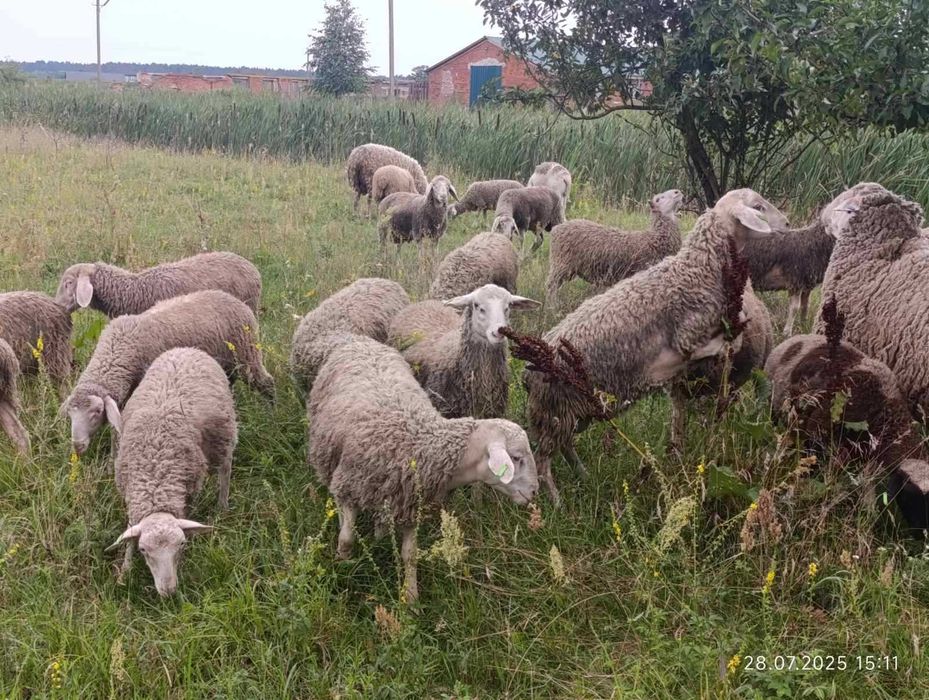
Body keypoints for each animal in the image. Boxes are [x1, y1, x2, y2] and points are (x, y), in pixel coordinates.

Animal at [63, 290, 273, 455]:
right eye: (70, 414)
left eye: (97, 412)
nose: (77, 446)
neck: (118, 349)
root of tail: (235, 300)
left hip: (247, 352)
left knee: (266, 382)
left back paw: (271, 411)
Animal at [105, 348, 237, 596]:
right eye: (144, 550)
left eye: (182, 545)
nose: (169, 592)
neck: (155, 479)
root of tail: (187, 349)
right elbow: (129, 534)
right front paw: (125, 571)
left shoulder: (189, 487)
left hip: (223, 434)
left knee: (225, 470)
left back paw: (222, 506)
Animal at [308, 333, 539, 602]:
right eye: (516, 457)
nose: (534, 491)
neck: (421, 443)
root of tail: (361, 341)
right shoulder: (350, 486)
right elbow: (346, 539)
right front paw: (343, 569)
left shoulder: (409, 502)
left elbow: (410, 554)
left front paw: (411, 598)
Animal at [545, 189, 684, 307]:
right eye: (659, 199)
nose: (678, 192)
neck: (656, 238)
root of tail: (557, 228)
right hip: (561, 263)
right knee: (551, 286)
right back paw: (552, 307)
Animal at [765, 331, 929, 529]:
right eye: (913, 495)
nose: (923, 531)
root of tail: (795, 338)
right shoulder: (818, 434)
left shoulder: (867, 452)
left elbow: (867, 484)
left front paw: (868, 513)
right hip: (776, 409)